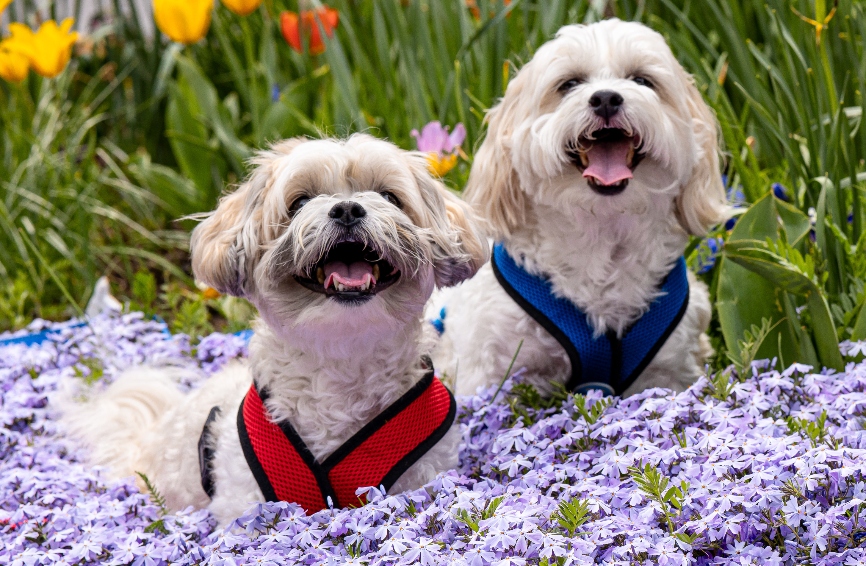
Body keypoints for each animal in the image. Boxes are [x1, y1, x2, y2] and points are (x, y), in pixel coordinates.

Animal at [60, 135, 490, 524]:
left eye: (389, 196)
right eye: (299, 202)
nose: (347, 209)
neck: (343, 361)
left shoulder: (424, 474)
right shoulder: (244, 500)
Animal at [428, 21, 724, 400]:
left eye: (642, 80)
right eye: (568, 84)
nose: (606, 98)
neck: (601, 234)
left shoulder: (670, 370)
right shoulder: (492, 369)